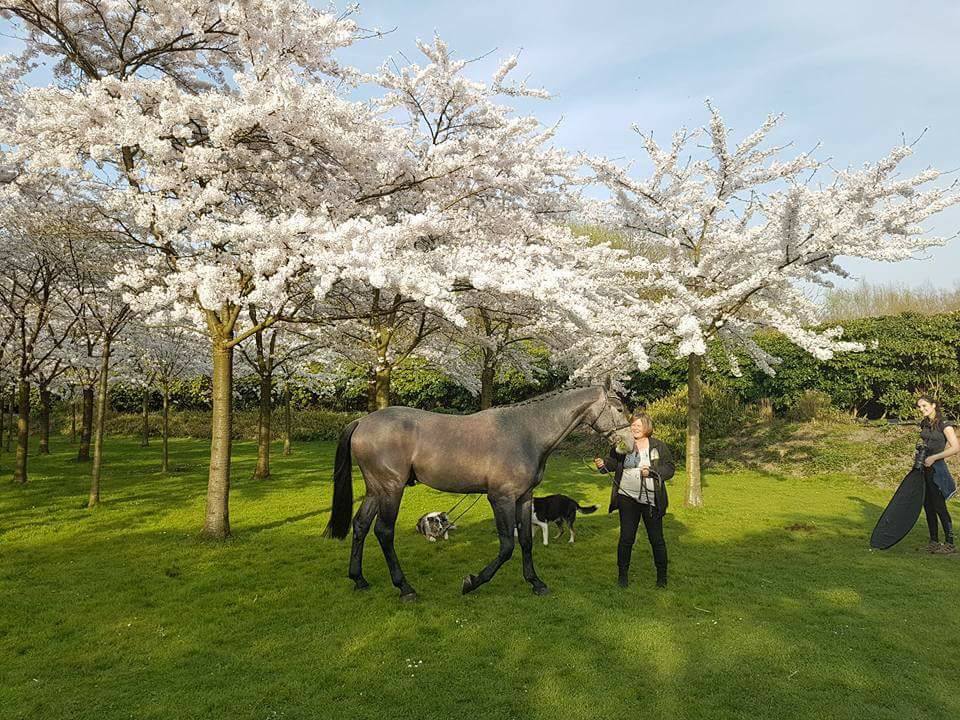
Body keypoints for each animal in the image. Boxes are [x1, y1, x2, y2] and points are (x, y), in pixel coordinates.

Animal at [326, 386, 632, 600]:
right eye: (618, 407)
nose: (628, 443)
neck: (525, 432)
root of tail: (362, 421)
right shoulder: (500, 498)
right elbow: (507, 546)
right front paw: (472, 582)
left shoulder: (523, 498)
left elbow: (526, 542)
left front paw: (536, 583)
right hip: (391, 489)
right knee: (384, 532)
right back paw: (405, 588)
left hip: (375, 490)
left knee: (361, 526)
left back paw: (359, 579)